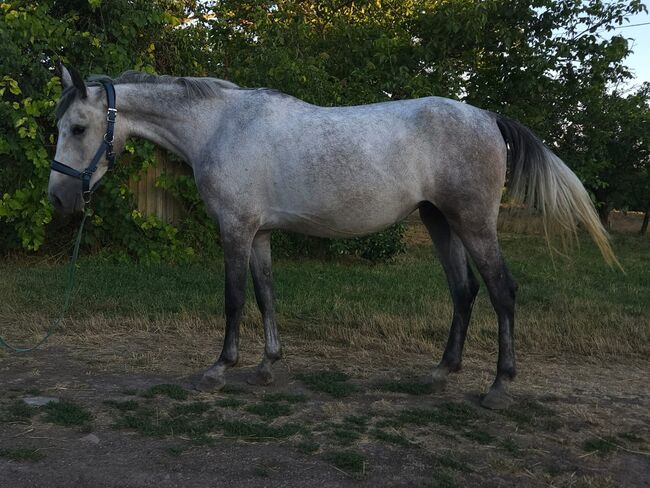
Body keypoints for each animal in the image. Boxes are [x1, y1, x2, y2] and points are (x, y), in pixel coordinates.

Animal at [48, 65, 616, 409]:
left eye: (77, 127)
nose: (59, 198)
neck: (220, 126)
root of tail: (487, 117)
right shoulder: (259, 233)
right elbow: (265, 295)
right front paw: (266, 365)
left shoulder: (235, 229)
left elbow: (234, 299)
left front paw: (220, 368)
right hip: (439, 221)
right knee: (464, 291)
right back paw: (440, 373)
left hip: (474, 223)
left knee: (501, 292)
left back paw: (499, 386)